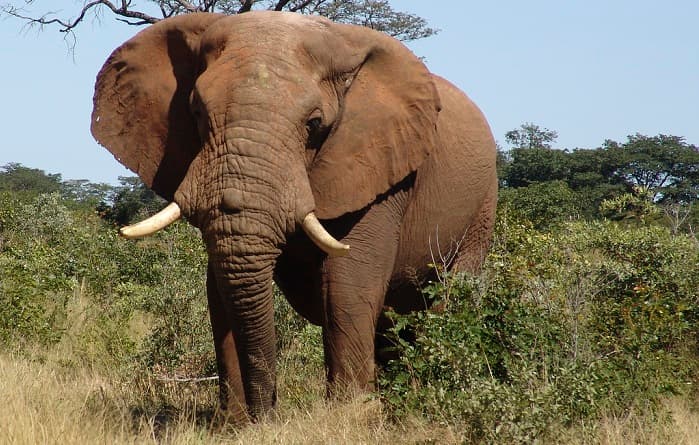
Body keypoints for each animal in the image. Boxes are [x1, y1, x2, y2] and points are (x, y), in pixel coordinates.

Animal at [91, 11, 497, 423]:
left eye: (313, 124)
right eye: (197, 114)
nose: (269, 412)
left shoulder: (384, 173)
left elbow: (347, 285)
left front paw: (349, 419)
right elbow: (219, 289)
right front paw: (236, 425)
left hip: (482, 208)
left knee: (447, 297)